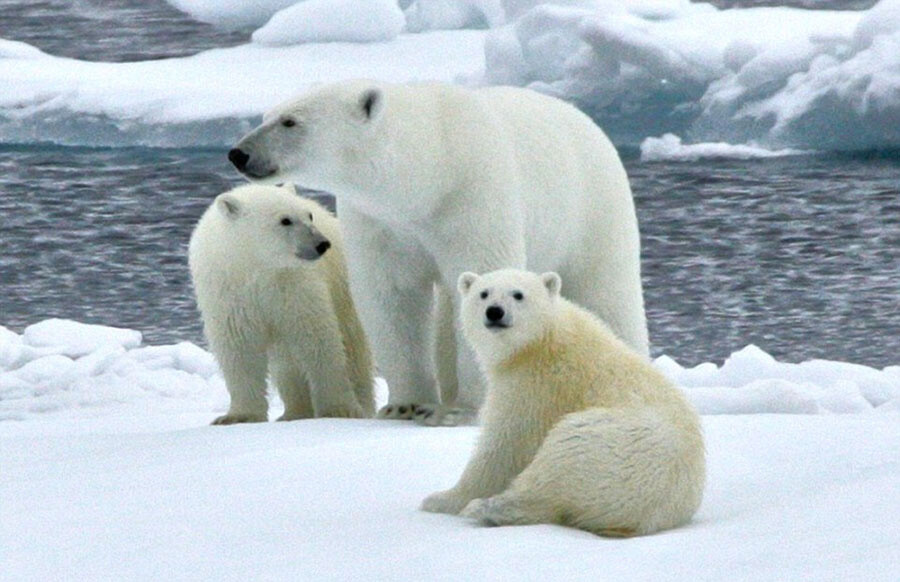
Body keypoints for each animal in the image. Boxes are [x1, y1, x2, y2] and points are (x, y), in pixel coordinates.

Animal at [188, 182, 374, 424]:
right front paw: (238, 417)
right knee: (286, 364)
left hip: (345, 293)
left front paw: (339, 410)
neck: (258, 267)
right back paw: (293, 413)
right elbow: (239, 347)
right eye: (285, 220)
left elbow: (317, 337)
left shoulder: (294, 285)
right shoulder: (228, 291)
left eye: (309, 215)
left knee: (353, 350)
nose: (322, 244)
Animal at [227, 80, 648, 426]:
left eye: (290, 121)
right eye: (266, 115)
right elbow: (391, 298)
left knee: (607, 297)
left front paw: (461, 410)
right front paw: (406, 405)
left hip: (591, 212)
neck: (430, 172)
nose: (238, 153)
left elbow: (482, 275)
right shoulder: (380, 221)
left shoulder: (473, 198)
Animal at [424, 272, 712, 540]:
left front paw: (442, 499)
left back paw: (487, 508)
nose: (495, 311)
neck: (543, 339)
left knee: (555, 465)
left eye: (518, 294)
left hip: (612, 446)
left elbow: (505, 445)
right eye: (483, 293)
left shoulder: (536, 385)